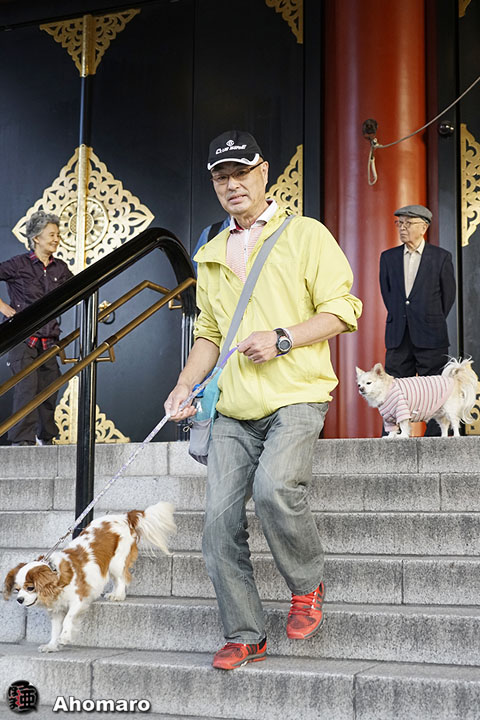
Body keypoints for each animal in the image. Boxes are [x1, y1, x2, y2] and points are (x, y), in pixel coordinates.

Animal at [3, 501, 175, 652]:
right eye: (17, 589)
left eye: (30, 588)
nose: (19, 600)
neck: (56, 574)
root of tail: (124, 516)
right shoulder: (57, 609)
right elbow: (55, 628)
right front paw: (52, 646)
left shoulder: (78, 600)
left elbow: (68, 619)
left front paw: (64, 638)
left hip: (117, 561)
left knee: (121, 578)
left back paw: (118, 595)